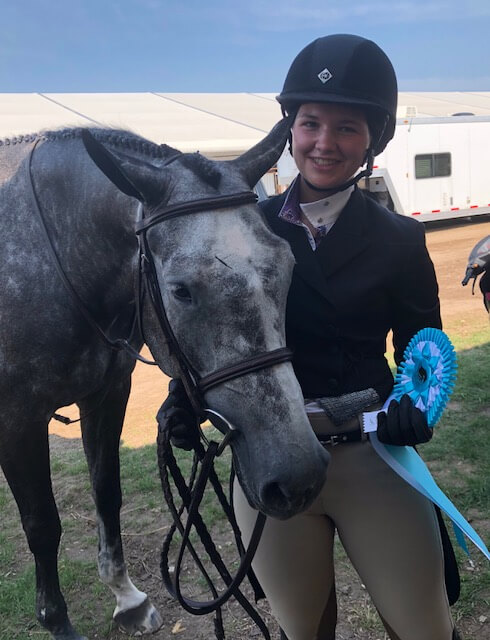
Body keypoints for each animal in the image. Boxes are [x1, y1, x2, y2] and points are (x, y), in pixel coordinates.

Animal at [0, 120, 329, 640]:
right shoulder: (17, 419)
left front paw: (127, 599)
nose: (298, 475)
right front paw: (57, 621)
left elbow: (107, 494)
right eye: (180, 290)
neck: (50, 255)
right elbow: (42, 525)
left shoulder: (107, 395)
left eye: (289, 264)